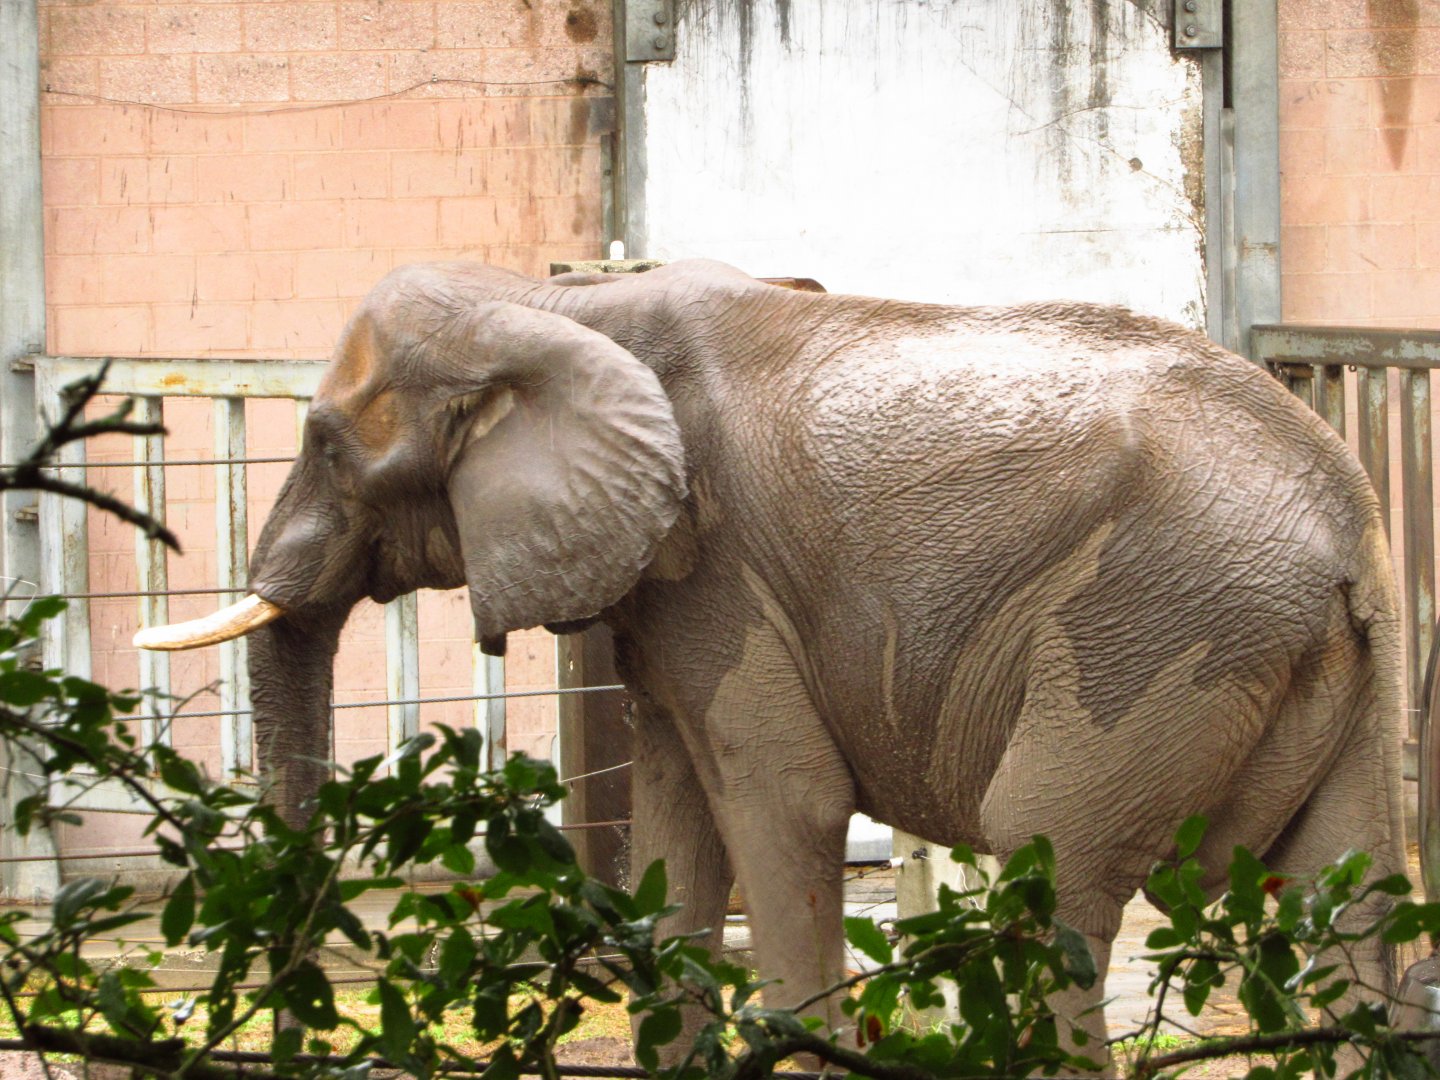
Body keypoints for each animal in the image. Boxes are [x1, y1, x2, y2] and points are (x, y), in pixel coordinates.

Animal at [137, 259, 1406, 1057]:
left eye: (325, 445)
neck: (553, 303)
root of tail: (1353, 524)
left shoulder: (721, 570)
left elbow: (784, 803)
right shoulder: (668, 593)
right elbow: (674, 827)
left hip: (1157, 630)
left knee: (1047, 864)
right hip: (1307, 666)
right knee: (1339, 899)